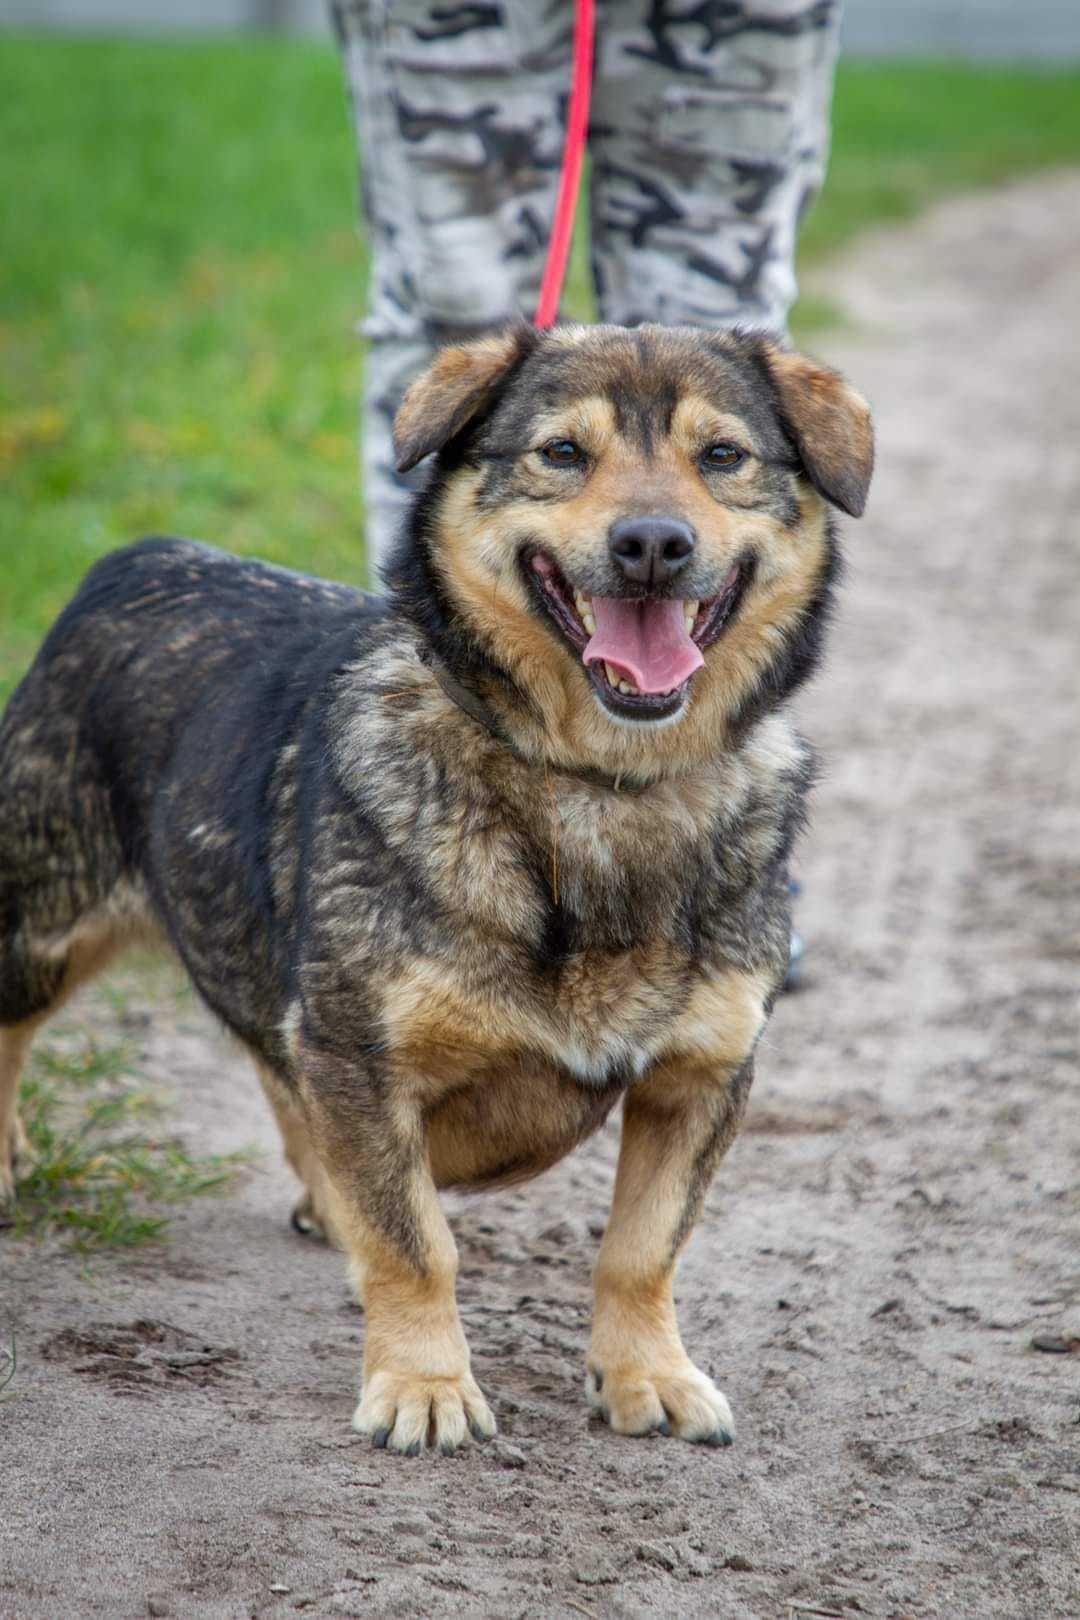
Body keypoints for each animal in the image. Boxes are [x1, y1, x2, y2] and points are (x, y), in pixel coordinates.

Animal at [0, 325, 874, 1458]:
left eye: (722, 456)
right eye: (562, 452)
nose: (653, 544)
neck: (597, 786)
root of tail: (138, 556)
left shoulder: (702, 1074)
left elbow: (642, 1247)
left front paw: (647, 1373)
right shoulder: (361, 1054)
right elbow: (416, 1243)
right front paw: (423, 1383)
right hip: (41, 923)